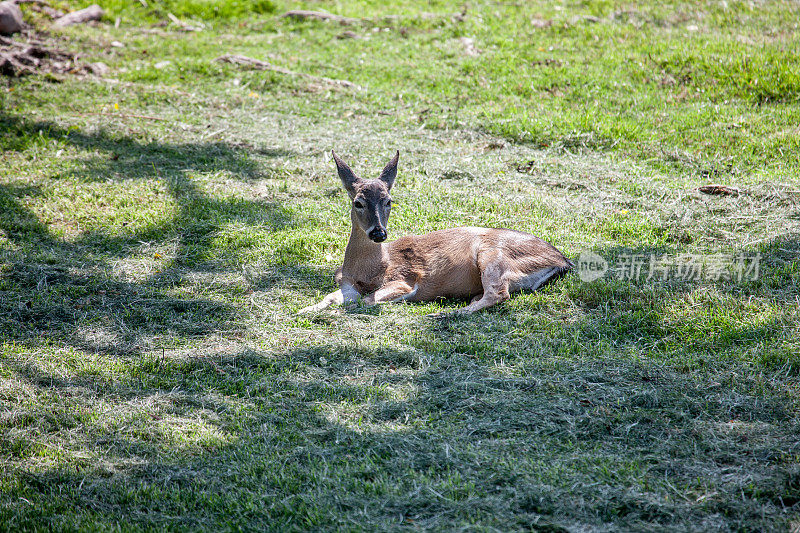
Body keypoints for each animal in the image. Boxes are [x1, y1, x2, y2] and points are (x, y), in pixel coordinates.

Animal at [296, 150, 572, 314]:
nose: (378, 234)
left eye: (389, 201)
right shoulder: (347, 283)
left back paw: (448, 313)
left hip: (494, 254)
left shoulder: (406, 278)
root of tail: (563, 261)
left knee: (498, 293)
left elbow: (368, 300)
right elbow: (330, 297)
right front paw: (304, 310)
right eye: (358, 203)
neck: (369, 269)